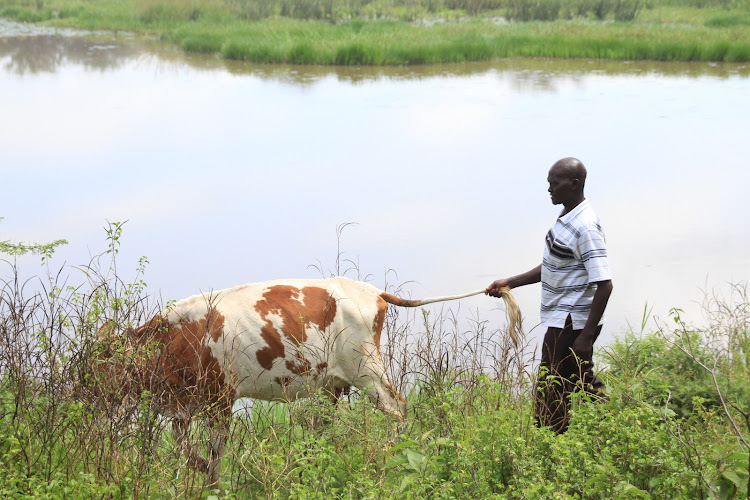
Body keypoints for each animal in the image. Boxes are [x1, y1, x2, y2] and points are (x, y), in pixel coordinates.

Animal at [89, 276, 524, 486]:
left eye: (98, 366)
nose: (84, 396)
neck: (178, 334)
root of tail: (369, 291)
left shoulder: (219, 399)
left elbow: (215, 454)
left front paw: (210, 481)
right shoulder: (184, 403)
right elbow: (183, 445)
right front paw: (197, 468)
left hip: (367, 369)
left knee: (396, 408)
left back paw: (395, 456)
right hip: (335, 381)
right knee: (327, 424)